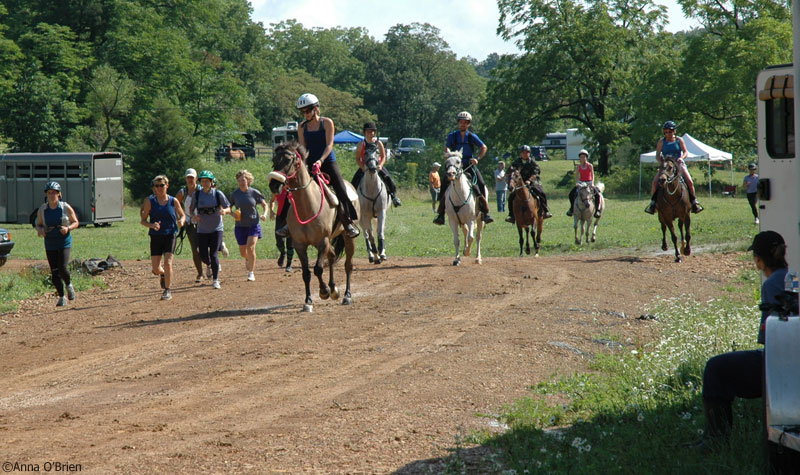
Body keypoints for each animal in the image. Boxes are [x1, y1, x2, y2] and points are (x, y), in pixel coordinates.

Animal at [268, 141, 358, 312]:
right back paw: (334, 289)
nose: (274, 185)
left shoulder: (322, 241)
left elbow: (317, 268)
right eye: (274, 160)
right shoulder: (299, 245)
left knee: (348, 265)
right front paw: (308, 301)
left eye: (288, 160)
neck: (307, 206)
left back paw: (347, 295)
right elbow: (306, 273)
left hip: (347, 237)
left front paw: (324, 291)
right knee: (332, 256)